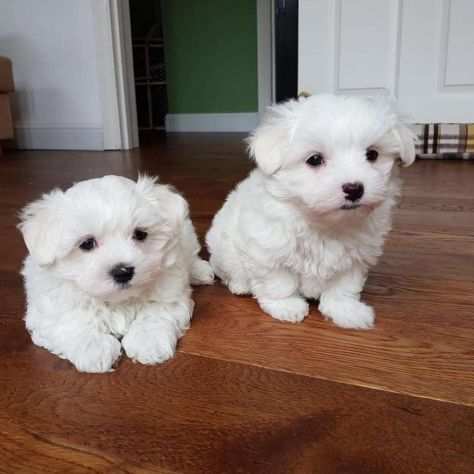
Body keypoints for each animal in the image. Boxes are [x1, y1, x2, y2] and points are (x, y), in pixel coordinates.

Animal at [19, 174, 213, 370]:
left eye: (140, 234)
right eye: (87, 243)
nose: (122, 272)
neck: (117, 300)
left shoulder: (170, 294)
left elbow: (157, 312)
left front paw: (148, 341)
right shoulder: (47, 310)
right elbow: (70, 322)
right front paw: (94, 347)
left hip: (185, 234)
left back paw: (201, 271)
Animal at [206, 94, 414, 328]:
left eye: (372, 154)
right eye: (314, 159)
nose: (354, 188)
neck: (324, 223)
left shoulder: (356, 256)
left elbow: (344, 286)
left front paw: (346, 310)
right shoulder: (267, 247)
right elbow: (278, 280)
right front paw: (286, 305)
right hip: (223, 250)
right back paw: (239, 285)